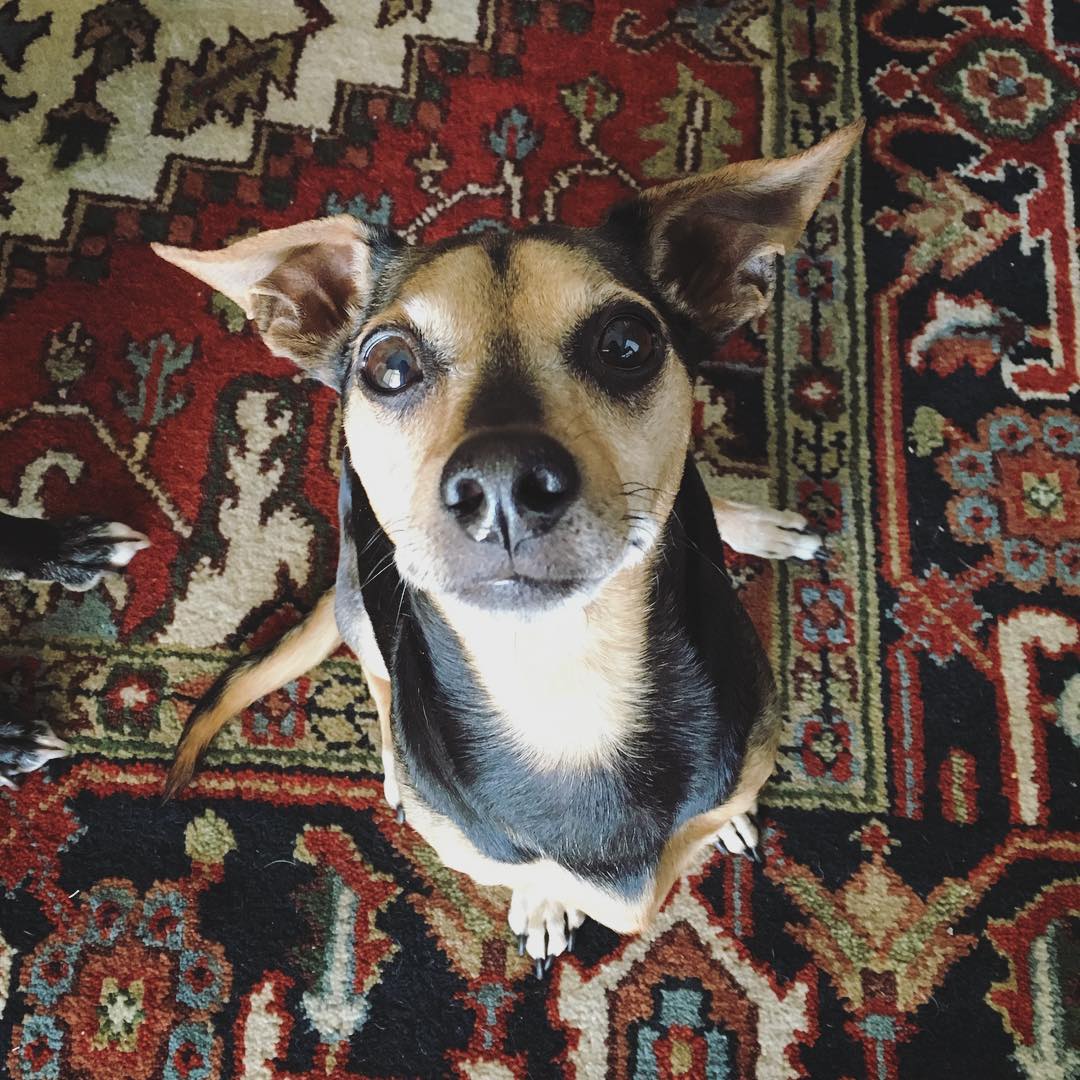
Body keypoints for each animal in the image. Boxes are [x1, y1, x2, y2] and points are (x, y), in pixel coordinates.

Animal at [152, 118, 859, 972]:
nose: (501, 484)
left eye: (628, 343)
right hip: (359, 597)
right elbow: (525, 873)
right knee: (377, 678)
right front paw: (544, 901)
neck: (565, 679)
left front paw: (725, 823)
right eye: (389, 365)